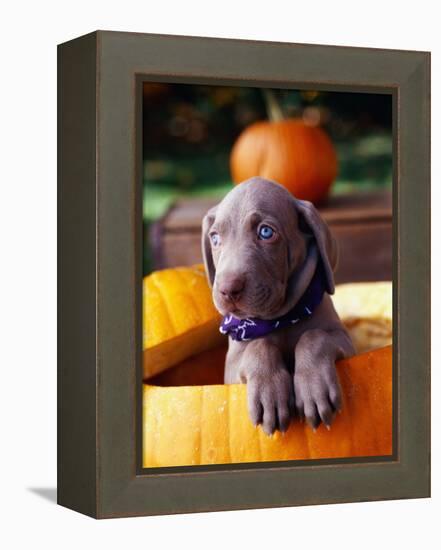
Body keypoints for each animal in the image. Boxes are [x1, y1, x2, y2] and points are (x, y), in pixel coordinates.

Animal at [202, 177, 354, 436]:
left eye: (266, 232)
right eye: (215, 239)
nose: (227, 290)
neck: (279, 319)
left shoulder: (346, 342)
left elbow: (314, 336)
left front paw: (314, 388)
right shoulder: (231, 369)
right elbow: (258, 345)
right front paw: (269, 393)